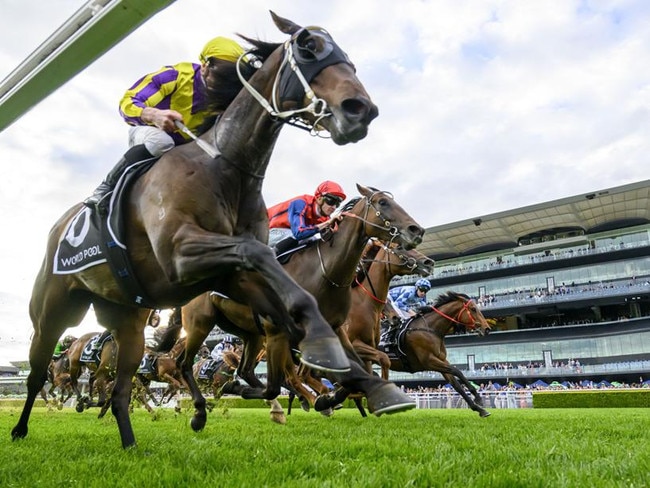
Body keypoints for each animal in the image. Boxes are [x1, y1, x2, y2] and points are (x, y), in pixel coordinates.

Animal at [12, 10, 378, 450]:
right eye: (309, 46)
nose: (362, 109)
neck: (226, 170)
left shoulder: (228, 275)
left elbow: (286, 303)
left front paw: (346, 371)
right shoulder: (181, 255)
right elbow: (259, 254)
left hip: (129, 322)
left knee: (120, 389)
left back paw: (133, 443)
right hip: (52, 313)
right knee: (39, 375)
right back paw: (22, 427)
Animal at [182, 185, 426, 422]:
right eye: (382, 202)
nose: (417, 230)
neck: (324, 273)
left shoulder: (337, 329)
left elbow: (357, 370)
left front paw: (344, 397)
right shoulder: (281, 332)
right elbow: (286, 381)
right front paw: (329, 399)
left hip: (251, 333)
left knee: (246, 371)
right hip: (202, 324)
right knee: (185, 365)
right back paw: (203, 409)